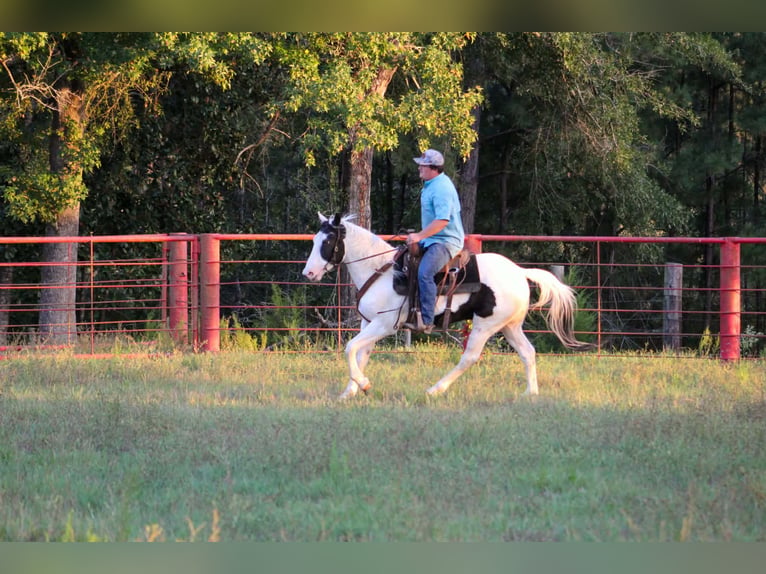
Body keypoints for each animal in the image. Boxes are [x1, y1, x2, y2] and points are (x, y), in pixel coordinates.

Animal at [302, 213, 591, 399]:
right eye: (314, 241)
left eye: (327, 242)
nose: (309, 273)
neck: (381, 271)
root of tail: (520, 272)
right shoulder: (369, 322)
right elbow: (361, 354)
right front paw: (351, 391)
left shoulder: (385, 324)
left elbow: (350, 348)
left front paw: (362, 384)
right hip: (509, 326)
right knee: (528, 352)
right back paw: (530, 393)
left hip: (485, 325)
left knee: (470, 357)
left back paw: (435, 389)